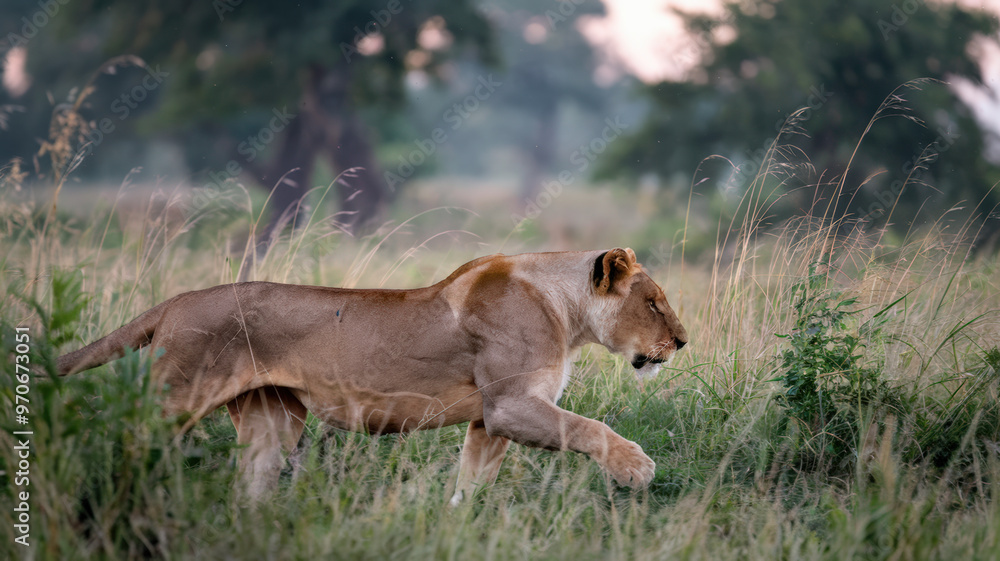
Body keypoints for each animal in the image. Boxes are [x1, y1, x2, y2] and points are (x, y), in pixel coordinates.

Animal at [57, 248, 688, 503]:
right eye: (654, 302)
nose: (682, 342)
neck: (566, 309)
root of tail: (177, 300)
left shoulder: (490, 420)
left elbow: (471, 482)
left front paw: (456, 523)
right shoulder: (510, 404)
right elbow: (588, 427)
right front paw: (636, 468)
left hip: (272, 417)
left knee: (250, 486)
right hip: (171, 403)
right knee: (119, 448)